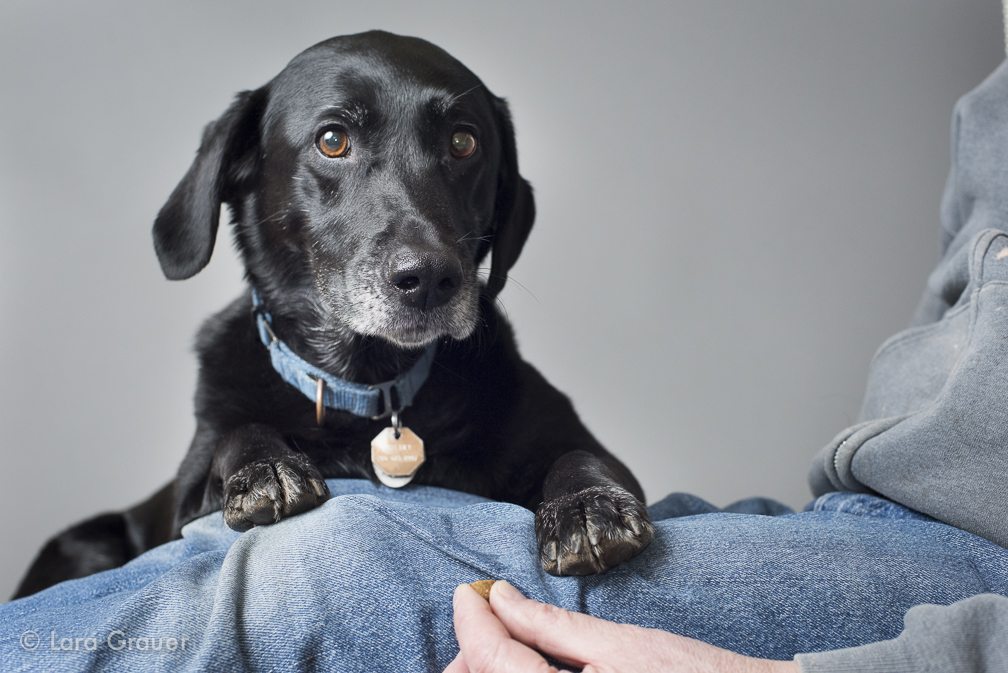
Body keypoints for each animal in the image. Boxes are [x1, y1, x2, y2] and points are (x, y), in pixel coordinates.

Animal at [15, 31, 653, 600]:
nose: (429, 279)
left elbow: (582, 455)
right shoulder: (187, 502)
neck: (368, 386)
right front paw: (266, 469)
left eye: (464, 142)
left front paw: (588, 506)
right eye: (332, 139)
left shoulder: (575, 440)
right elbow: (238, 435)